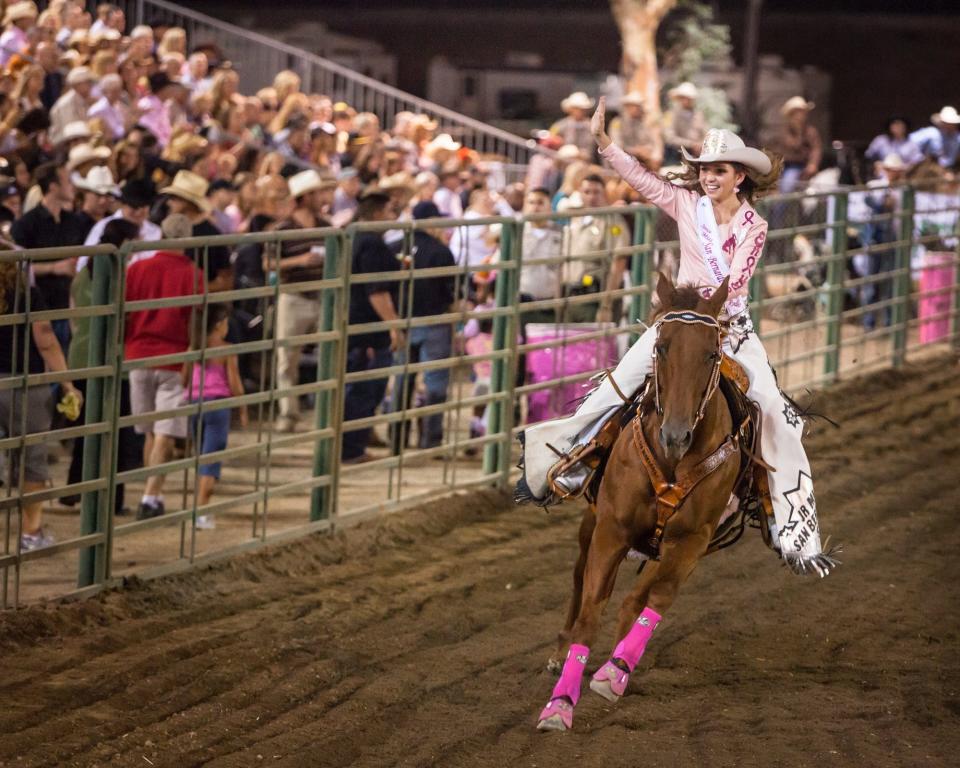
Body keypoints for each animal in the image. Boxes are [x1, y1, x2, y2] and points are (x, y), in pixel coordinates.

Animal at [540, 272, 752, 728]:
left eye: (712, 353)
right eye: (661, 346)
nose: (675, 436)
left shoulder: (691, 540)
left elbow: (657, 599)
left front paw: (614, 673)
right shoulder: (611, 531)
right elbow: (591, 610)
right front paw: (560, 704)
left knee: (636, 600)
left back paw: (613, 665)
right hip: (591, 526)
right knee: (579, 579)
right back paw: (561, 653)